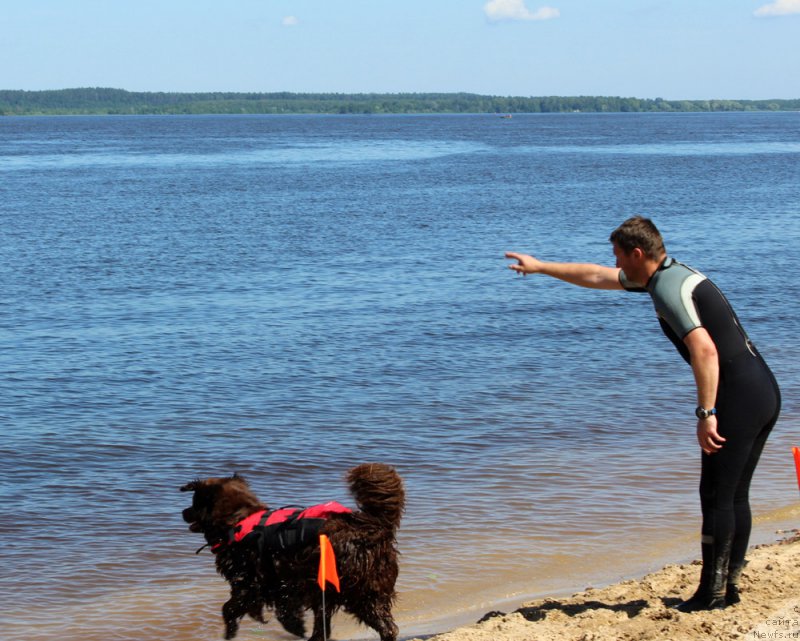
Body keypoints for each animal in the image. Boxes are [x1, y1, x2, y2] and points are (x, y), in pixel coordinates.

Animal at [183, 462, 406, 640]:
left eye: (194, 504)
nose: (183, 512)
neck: (238, 518)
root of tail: (371, 527)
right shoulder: (279, 582)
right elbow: (283, 609)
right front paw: (295, 626)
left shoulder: (250, 579)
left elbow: (230, 607)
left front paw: (230, 631)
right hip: (361, 589)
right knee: (381, 625)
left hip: (343, 587)